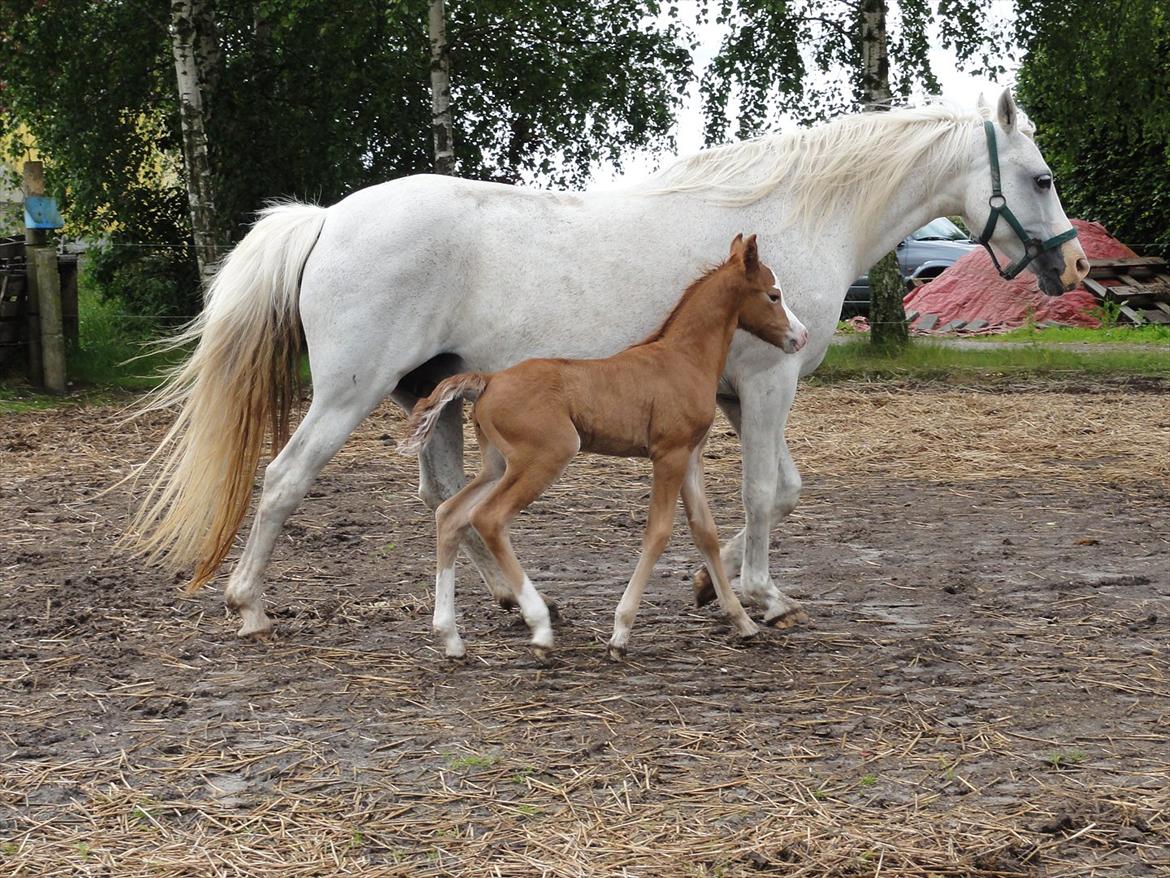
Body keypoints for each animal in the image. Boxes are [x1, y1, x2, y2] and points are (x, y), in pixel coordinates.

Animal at [399, 234, 808, 660]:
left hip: (498, 465)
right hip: (545, 457)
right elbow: (658, 532)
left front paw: (742, 622)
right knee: (488, 518)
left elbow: (705, 532)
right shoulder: (668, 455)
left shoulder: (691, 456)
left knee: (450, 514)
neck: (683, 359)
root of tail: (489, 380)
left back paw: (450, 637)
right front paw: (620, 633)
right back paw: (540, 627)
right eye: (774, 295)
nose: (801, 337)